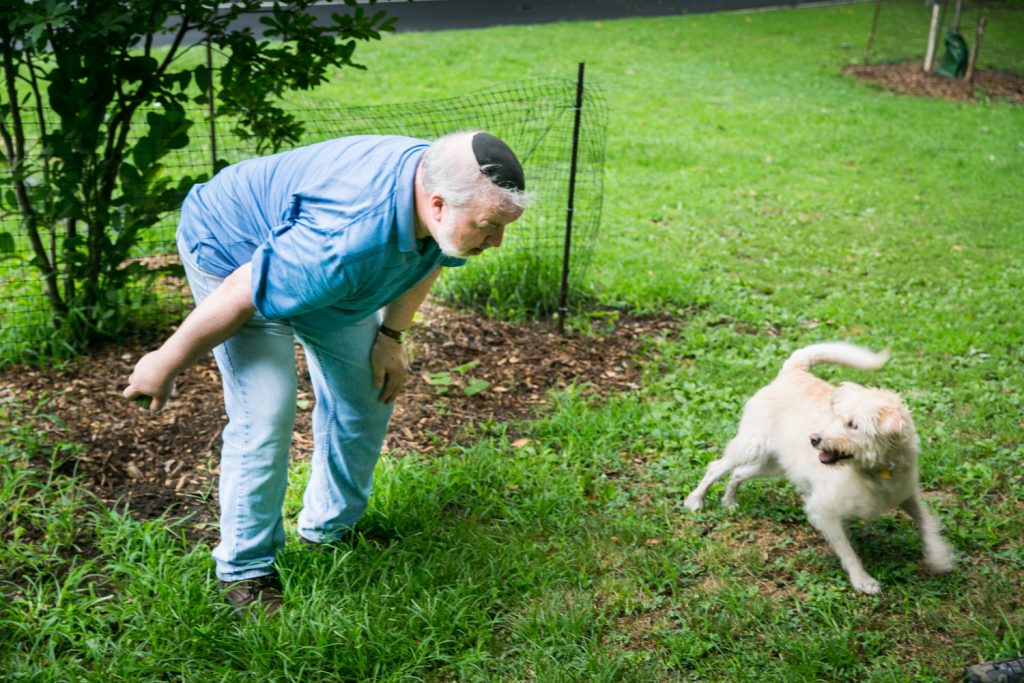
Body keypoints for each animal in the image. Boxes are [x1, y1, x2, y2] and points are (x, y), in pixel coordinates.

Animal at [684, 342, 954, 593]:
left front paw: (940, 557)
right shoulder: (824, 511)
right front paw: (862, 580)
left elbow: (928, 522)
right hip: (752, 446)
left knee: (738, 473)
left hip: (772, 465)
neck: (875, 470)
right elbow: (848, 551)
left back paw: (729, 501)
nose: (813, 439)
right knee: (716, 467)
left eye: (852, 424)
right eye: (834, 417)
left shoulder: (907, 495)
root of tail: (792, 371)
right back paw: (695, 500)